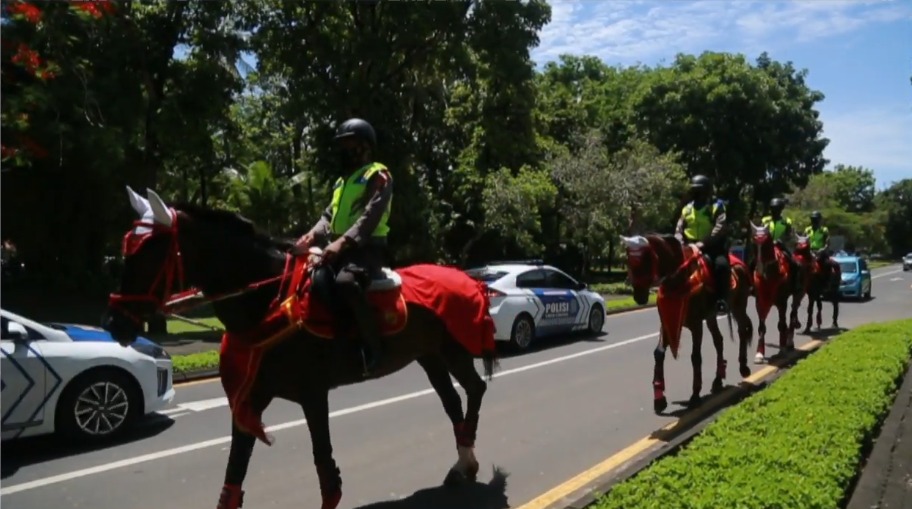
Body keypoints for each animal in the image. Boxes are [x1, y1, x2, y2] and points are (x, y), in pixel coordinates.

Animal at [105, 189, 498, 508]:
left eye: (149, 252)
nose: (114, 323)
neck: (267, 300)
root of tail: (468, 278)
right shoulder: (250, 398)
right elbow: (234, 475)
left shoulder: (313, 394)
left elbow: (325, 469)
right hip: (429, 356)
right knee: (452, 401)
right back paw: (463, 462)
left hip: (453, 350)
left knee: (475, 388)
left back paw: (467, 456)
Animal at [620, 234, 756, 412]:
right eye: (629, 260)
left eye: (647, 260)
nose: (639, 296)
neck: (679, 280)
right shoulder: (667, 323)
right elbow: (659, 353)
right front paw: (659, 398)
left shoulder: (696, 325)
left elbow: (695, 357)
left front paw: (695, 395)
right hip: (711, 316)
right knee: (719, 340)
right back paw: (718, 379)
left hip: (738, 307)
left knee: (741, 331)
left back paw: (743, 367)